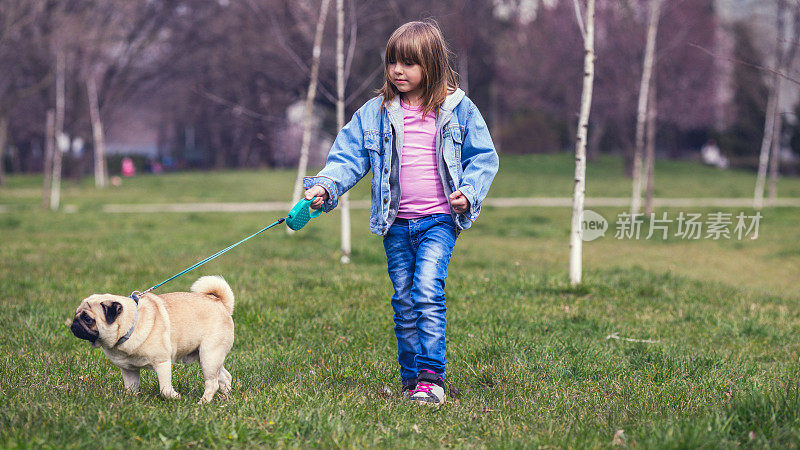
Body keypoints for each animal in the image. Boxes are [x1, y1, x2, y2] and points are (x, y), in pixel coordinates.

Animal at [70, 274, 234, 404]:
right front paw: (131, 400)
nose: (73, 324)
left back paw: (203, 403)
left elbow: (165, 389)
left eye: (87, 319)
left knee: (212, 383)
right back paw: (226, 397)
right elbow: (130, 388)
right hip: (207, 357)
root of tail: (220, 303)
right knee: (224, 377)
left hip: (209, 355)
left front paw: (175, 397)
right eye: (76, 314)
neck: (131, 325)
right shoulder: (129, 370)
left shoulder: (162, 363)